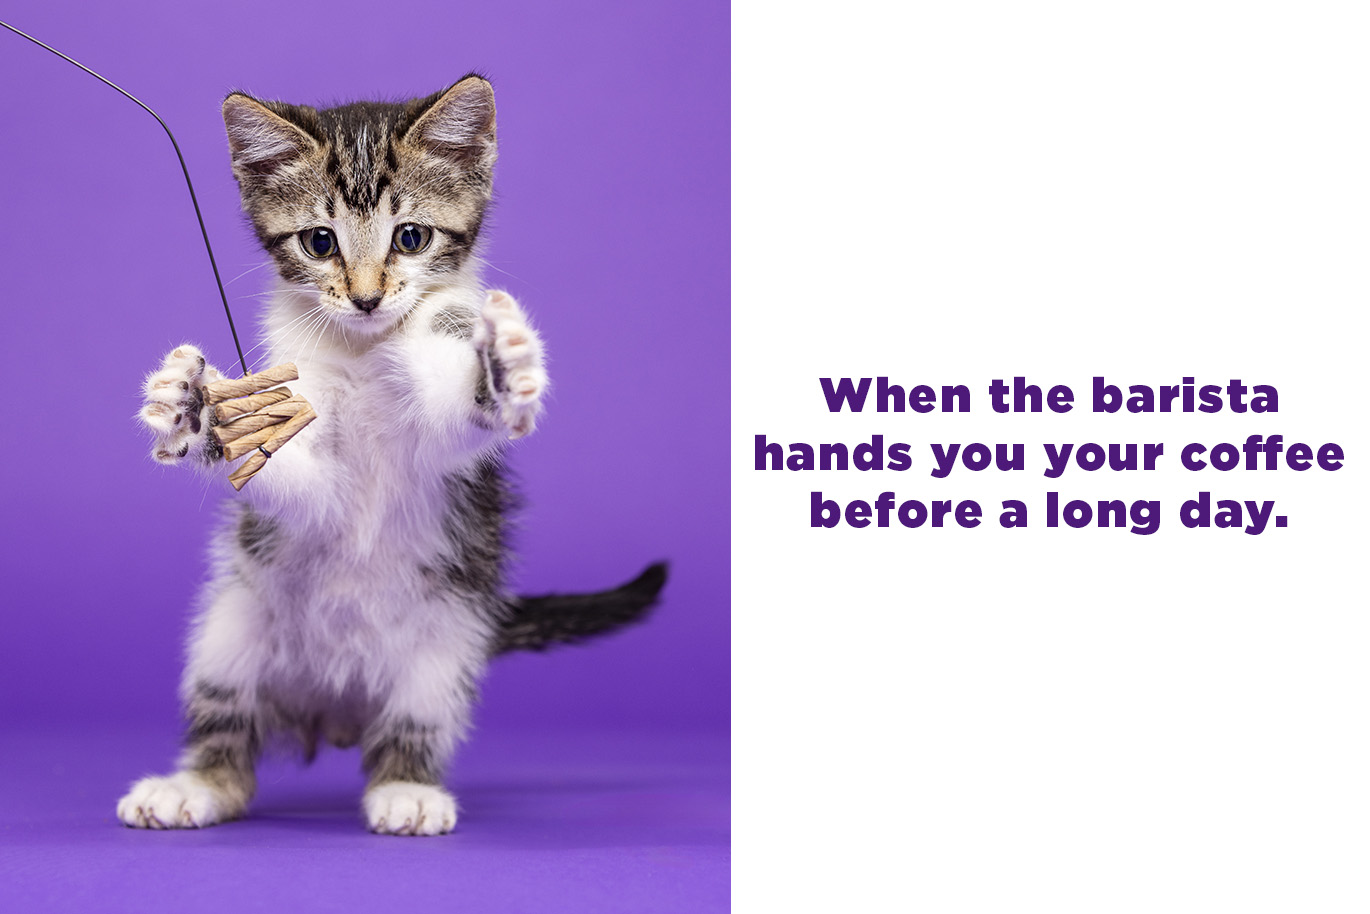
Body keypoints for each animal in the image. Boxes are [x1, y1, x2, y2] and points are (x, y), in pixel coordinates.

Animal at [120, 76, 665, 838]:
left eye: (411, 236)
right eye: (319, 242)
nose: (367, 296)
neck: (364, 351)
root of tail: (334, 712)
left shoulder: (438, 408)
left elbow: (453, 413)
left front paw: (501, 369)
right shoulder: (309, 439)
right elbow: (299, 480)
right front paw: (196, 409)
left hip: (445, 649)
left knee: (412, 725)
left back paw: (406, 788)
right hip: (229, 627)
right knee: (230, 735)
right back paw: (195, 785)